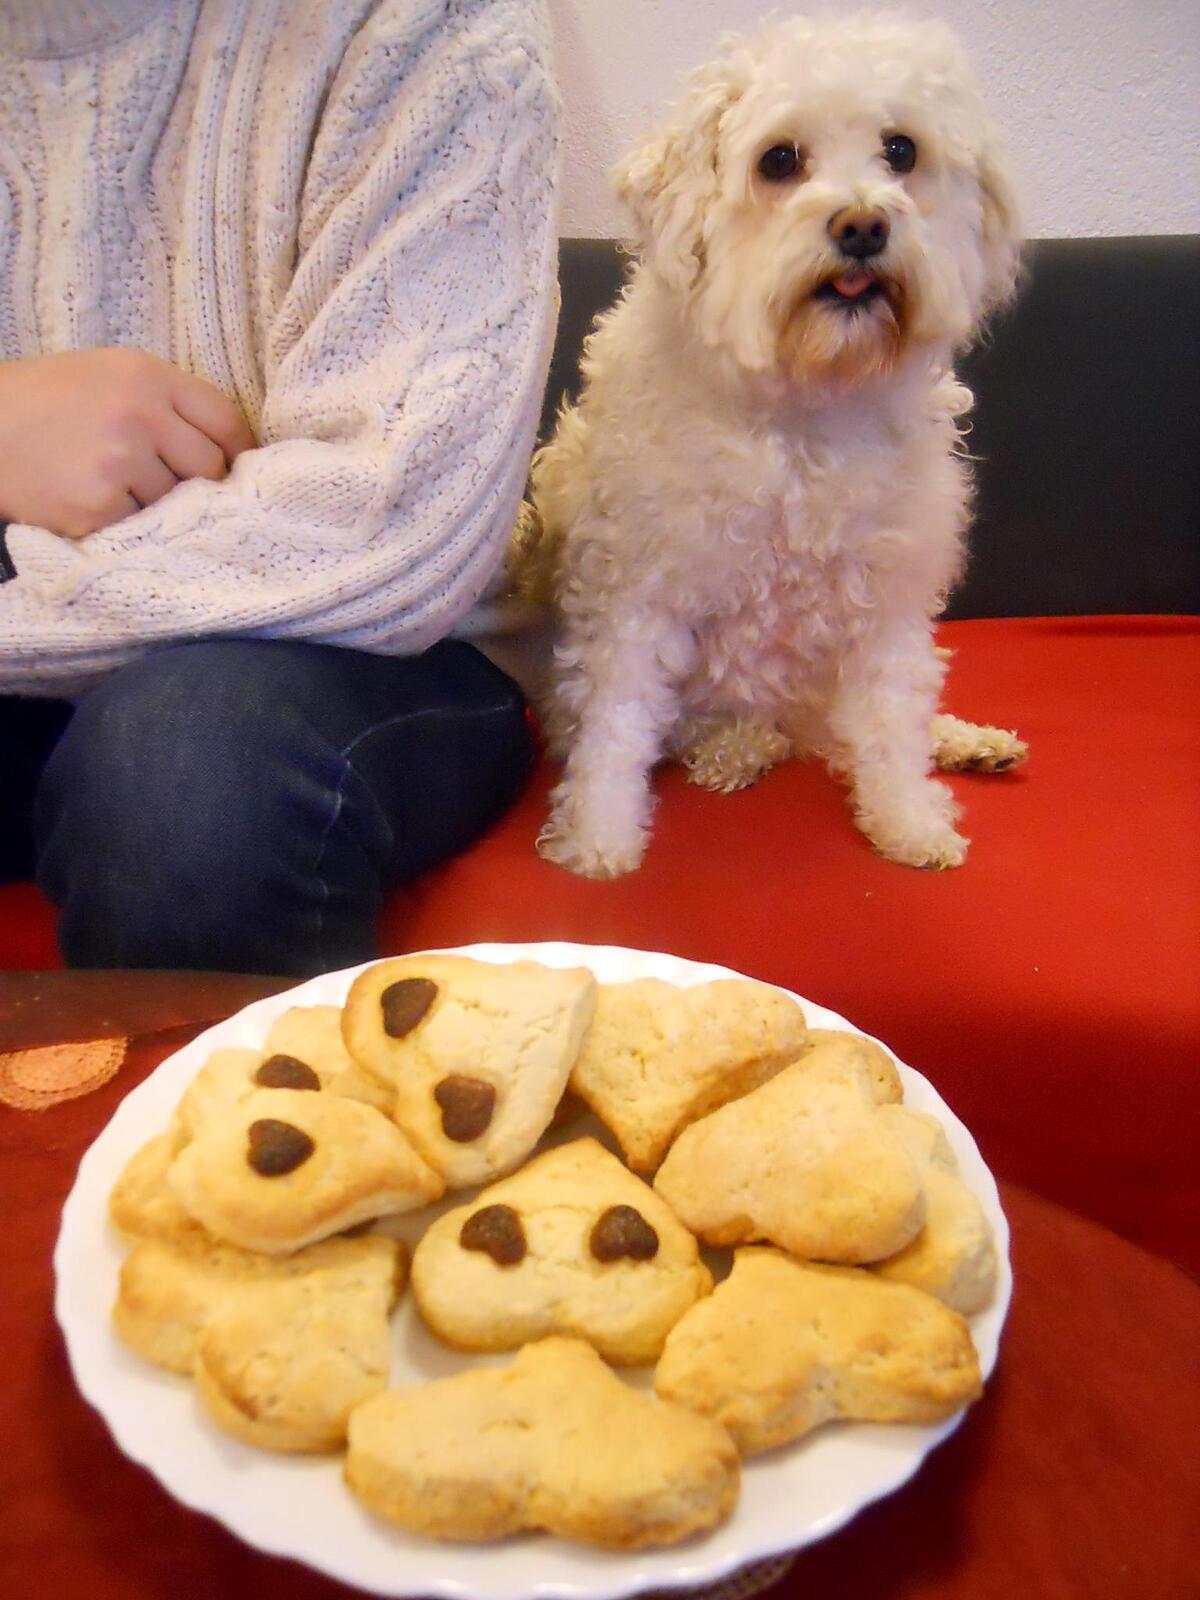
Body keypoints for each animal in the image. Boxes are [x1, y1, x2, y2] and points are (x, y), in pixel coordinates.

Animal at [531, 9, 1030, 876]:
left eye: (901, 150)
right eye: (780, 161)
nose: (863, 224)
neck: (808, 407)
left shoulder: (889, 600)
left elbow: (894, 720)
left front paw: (909, 821)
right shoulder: (638, 595)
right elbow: (616, 727)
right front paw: (599, 841)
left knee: (863, 725)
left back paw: (971, 744)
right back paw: (738, 751)